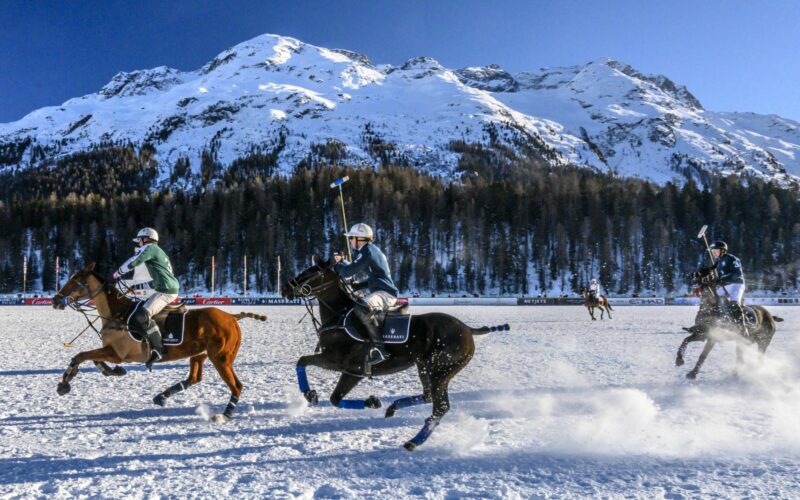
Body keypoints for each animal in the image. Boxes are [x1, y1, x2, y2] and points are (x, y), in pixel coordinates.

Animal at [51, 262, 268, 422]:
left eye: (76, 280)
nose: (55, 300)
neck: (117, 314)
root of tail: (232, 317)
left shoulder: (118, 354)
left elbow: (81, 355)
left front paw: (64, 383)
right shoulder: (112, 350)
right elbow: (92, 358)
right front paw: (112, 371)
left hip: (221, 357)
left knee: (236, 385)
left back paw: (224, 415)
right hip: (200, 354)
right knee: (194, 378)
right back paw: (161, 396)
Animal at [282, 256, 506, 452]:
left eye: (311, 272)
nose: (285, 287)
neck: (338, 316)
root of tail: (468, 329)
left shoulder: (346, 366)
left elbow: (325, 387)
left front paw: (311, 394)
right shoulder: (345, 367)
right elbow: (306, 366)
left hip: (441, 370)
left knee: (440, 407)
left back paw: (413, 442)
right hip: (425, 367)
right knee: (428, 396)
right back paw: (393, 408)